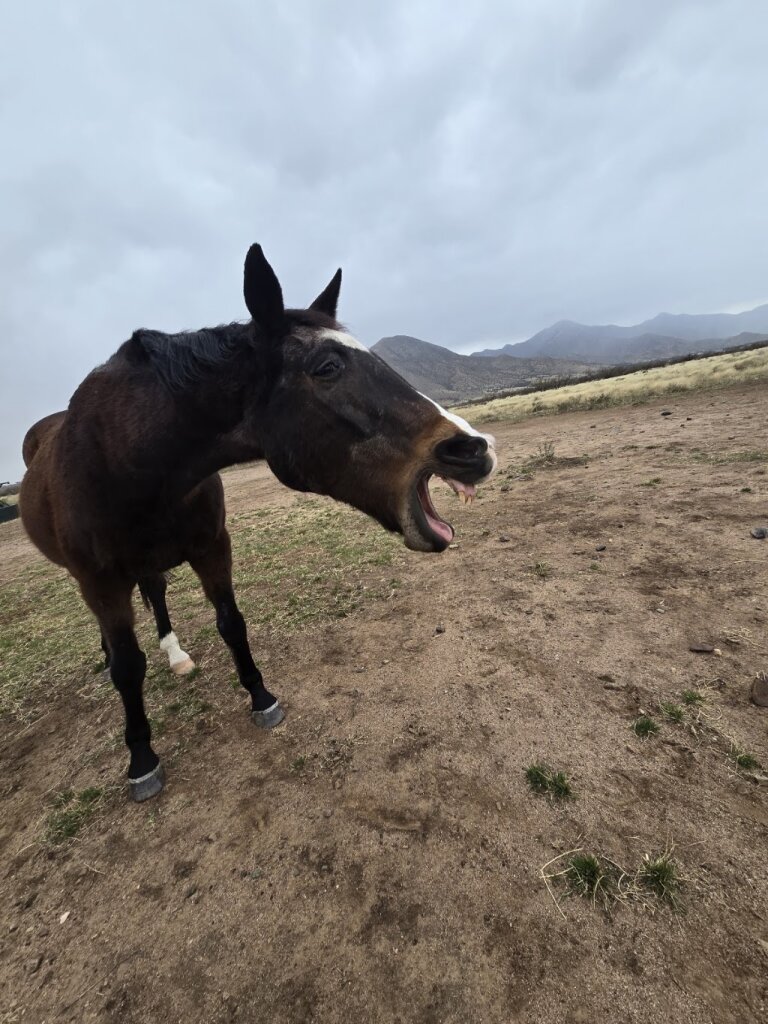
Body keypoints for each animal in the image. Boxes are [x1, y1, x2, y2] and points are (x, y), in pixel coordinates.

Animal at [20, 244, 497, 802]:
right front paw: (141, 759)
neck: (128, 460)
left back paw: (174, 654)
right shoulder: (101, 581)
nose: (473, 448)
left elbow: (231, 623)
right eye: (327, 366)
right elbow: (129, 667)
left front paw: (260, 696)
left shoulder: (212, 547)